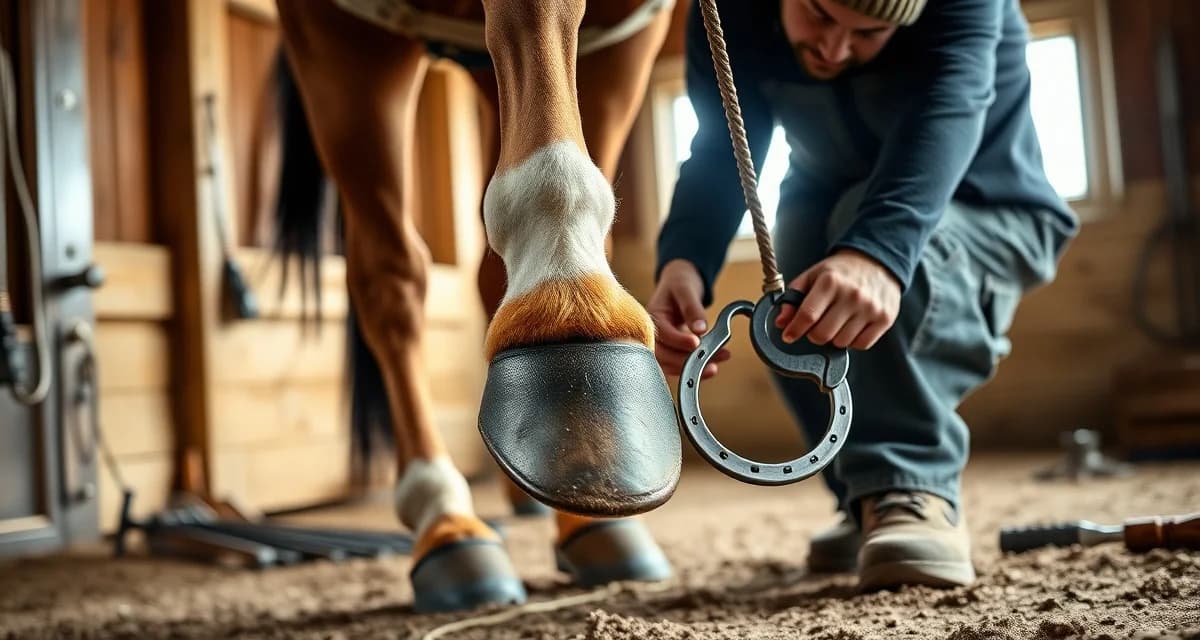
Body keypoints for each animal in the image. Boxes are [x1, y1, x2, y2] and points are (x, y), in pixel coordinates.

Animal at [272, 0, 683, 613]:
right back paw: (445, 517)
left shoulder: (629, 36)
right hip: (347, 49)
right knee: (389, 277)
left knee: (483, 274)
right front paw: (569, 308)